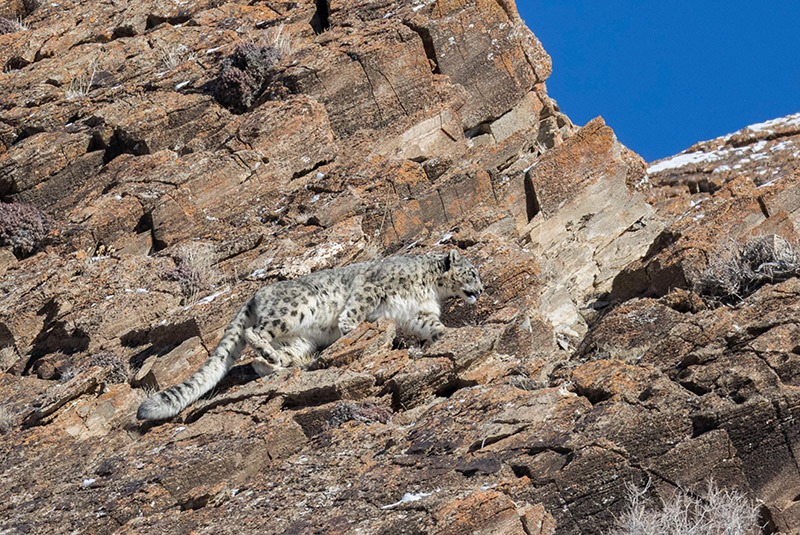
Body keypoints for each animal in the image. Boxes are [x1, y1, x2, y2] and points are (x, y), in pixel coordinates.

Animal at [136, 249, 482, 420]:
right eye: (472, 272)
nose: (480, 291)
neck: (430, 289)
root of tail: (255, 295)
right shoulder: (372, 287)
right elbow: (355, 310)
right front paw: (350, 329)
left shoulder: (418, 315)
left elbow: (433, 327)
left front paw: (447, 335)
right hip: (295, 310)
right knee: (252, 332)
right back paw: (273, 354)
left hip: (299, 339)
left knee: (259, 361)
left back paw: (279, 362)